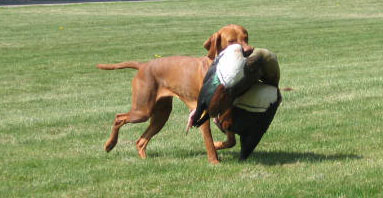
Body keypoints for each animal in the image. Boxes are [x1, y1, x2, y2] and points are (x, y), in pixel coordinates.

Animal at [97, 24, 254, 163]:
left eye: (246, 38)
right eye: (232, 41)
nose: (250, 50)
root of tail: (143, 65)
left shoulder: (224, 111)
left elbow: (231, 141)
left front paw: (218, 145)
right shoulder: (201, 113)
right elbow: (209, 142)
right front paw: (214, 161)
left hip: (161, 115)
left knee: (140, 141)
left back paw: (144, 160)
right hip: (142, 111)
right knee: (119, 118)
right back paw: (109, 144)